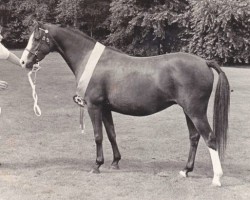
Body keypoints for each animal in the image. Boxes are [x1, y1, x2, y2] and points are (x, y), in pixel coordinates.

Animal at [20, 22, 229, 187]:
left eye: (36, 38)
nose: (24, 61)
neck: (90, 60)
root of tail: (204, 62)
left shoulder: (94, 107)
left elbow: (98, 136)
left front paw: (97, 165)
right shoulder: (106, 109)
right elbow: (111, 134)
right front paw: (115, 162)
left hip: (195, 111)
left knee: (210, 138)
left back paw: (217, 178)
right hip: (188, 111)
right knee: (194, 138)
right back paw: (185, 170)